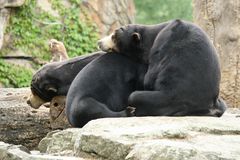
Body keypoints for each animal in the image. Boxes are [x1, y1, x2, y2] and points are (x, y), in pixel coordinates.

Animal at [98, 19, 227, 117]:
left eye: (113, 36)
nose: (99, 42)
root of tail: (209, 106)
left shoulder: (162, 43)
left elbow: (149, 78)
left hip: (169, 99)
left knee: (135, 96)